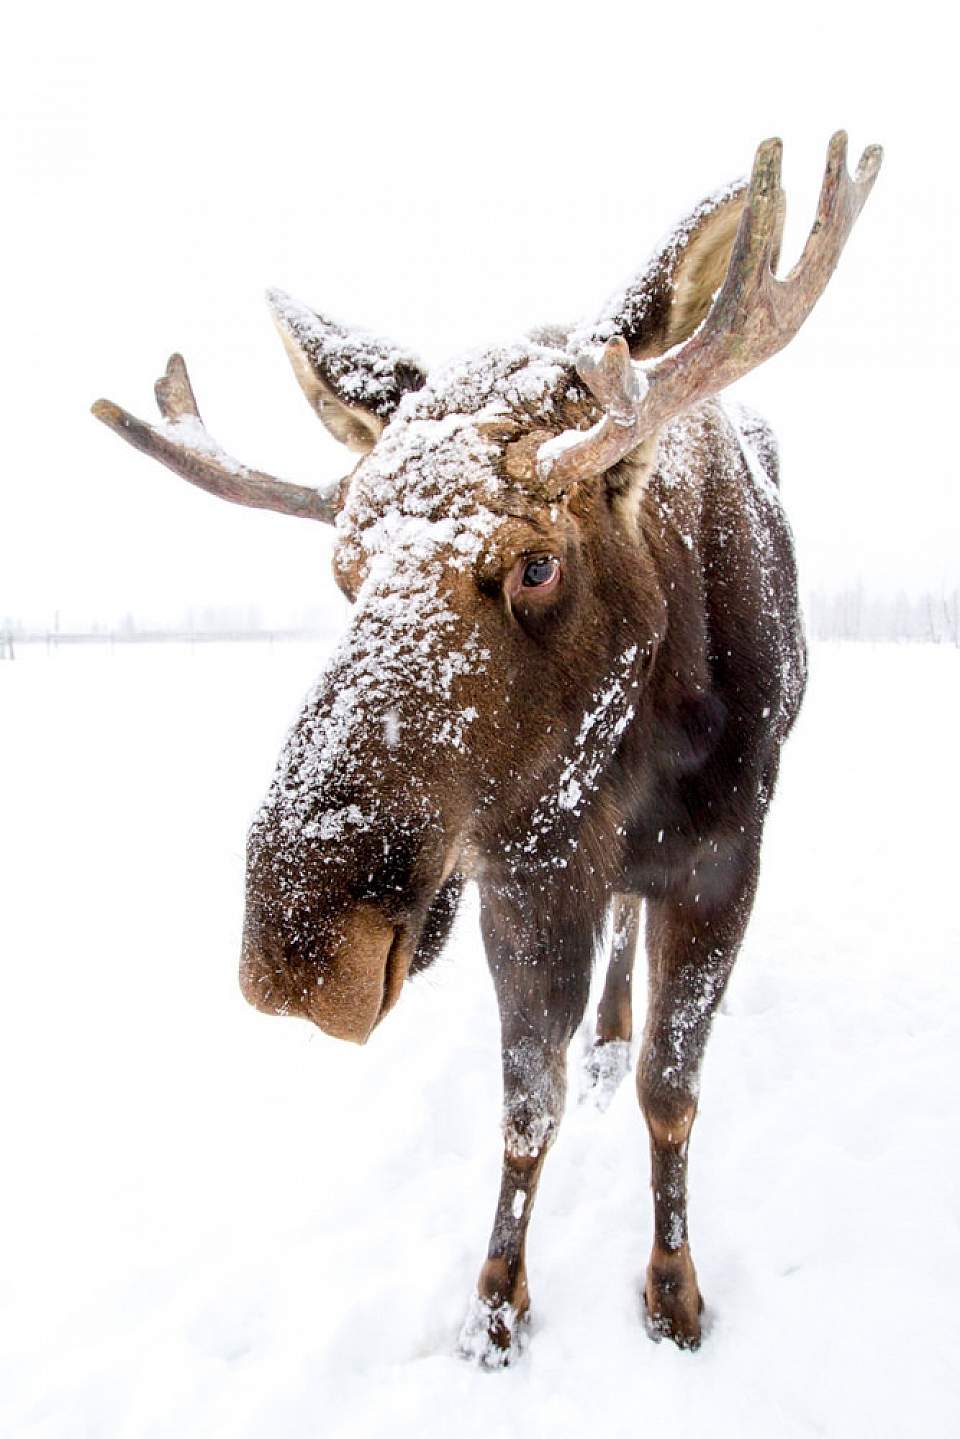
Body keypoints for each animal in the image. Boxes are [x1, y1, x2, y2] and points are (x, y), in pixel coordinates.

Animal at [93, 132, 880, 1358]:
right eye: (346, 569)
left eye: (538, 562)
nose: (300, 945)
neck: (632, 764)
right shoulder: (526, 870)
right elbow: (524, 1102)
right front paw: (496, 1305)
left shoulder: (726, 857)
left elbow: (671, 1090)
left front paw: (673, 1291)